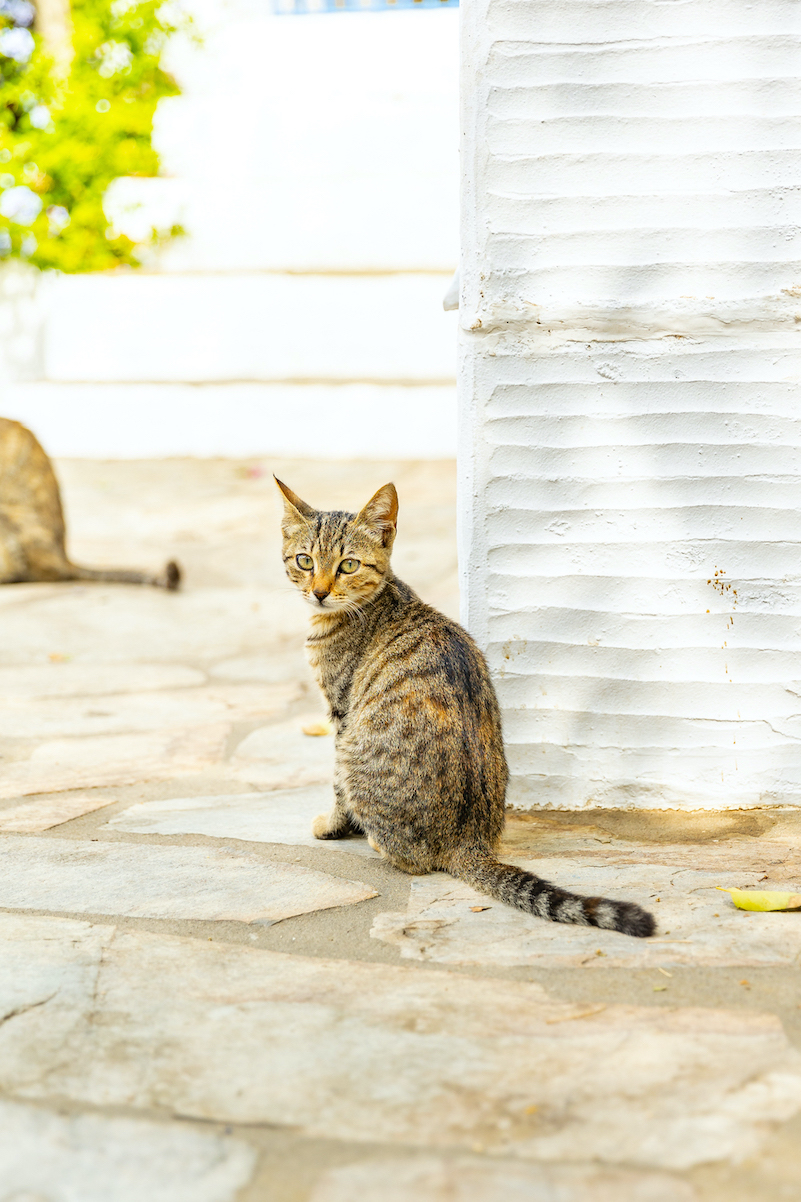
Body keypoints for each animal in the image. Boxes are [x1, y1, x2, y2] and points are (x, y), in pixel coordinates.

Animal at [277, 478, 654, 937]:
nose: (318, 592)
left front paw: (333, 826)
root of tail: (468, 841)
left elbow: (335, 785)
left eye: (348, 565)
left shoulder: (343, 714)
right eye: (305, 560)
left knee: (412, 859)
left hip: (358, 751)